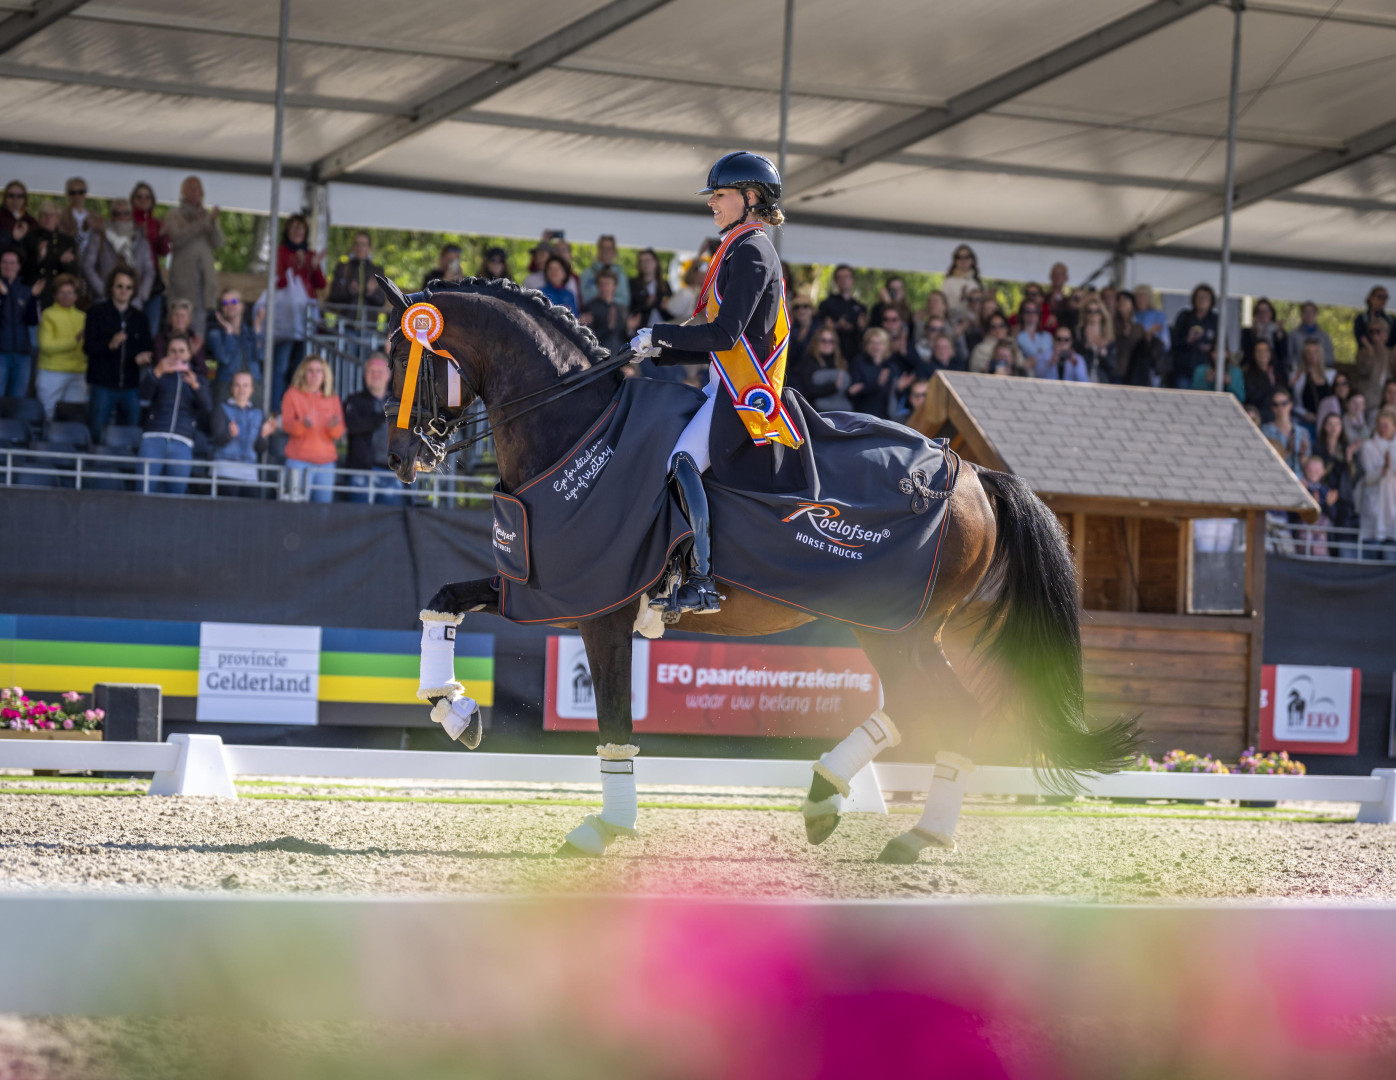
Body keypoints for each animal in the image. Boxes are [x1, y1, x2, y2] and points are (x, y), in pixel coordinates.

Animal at [379, 276, 1138, 861]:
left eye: (402, 355)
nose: (398, 457)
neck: (577, 428)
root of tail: (971, 472)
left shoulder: (600, 607)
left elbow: (615, 719)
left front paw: (607, 826)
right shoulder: (536, 583)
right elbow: (439, 601)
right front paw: (456, 710)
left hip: (899, 627)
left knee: (944, 707)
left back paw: (885, 820)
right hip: (899, 629)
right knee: (927, 707)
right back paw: (863, 812)